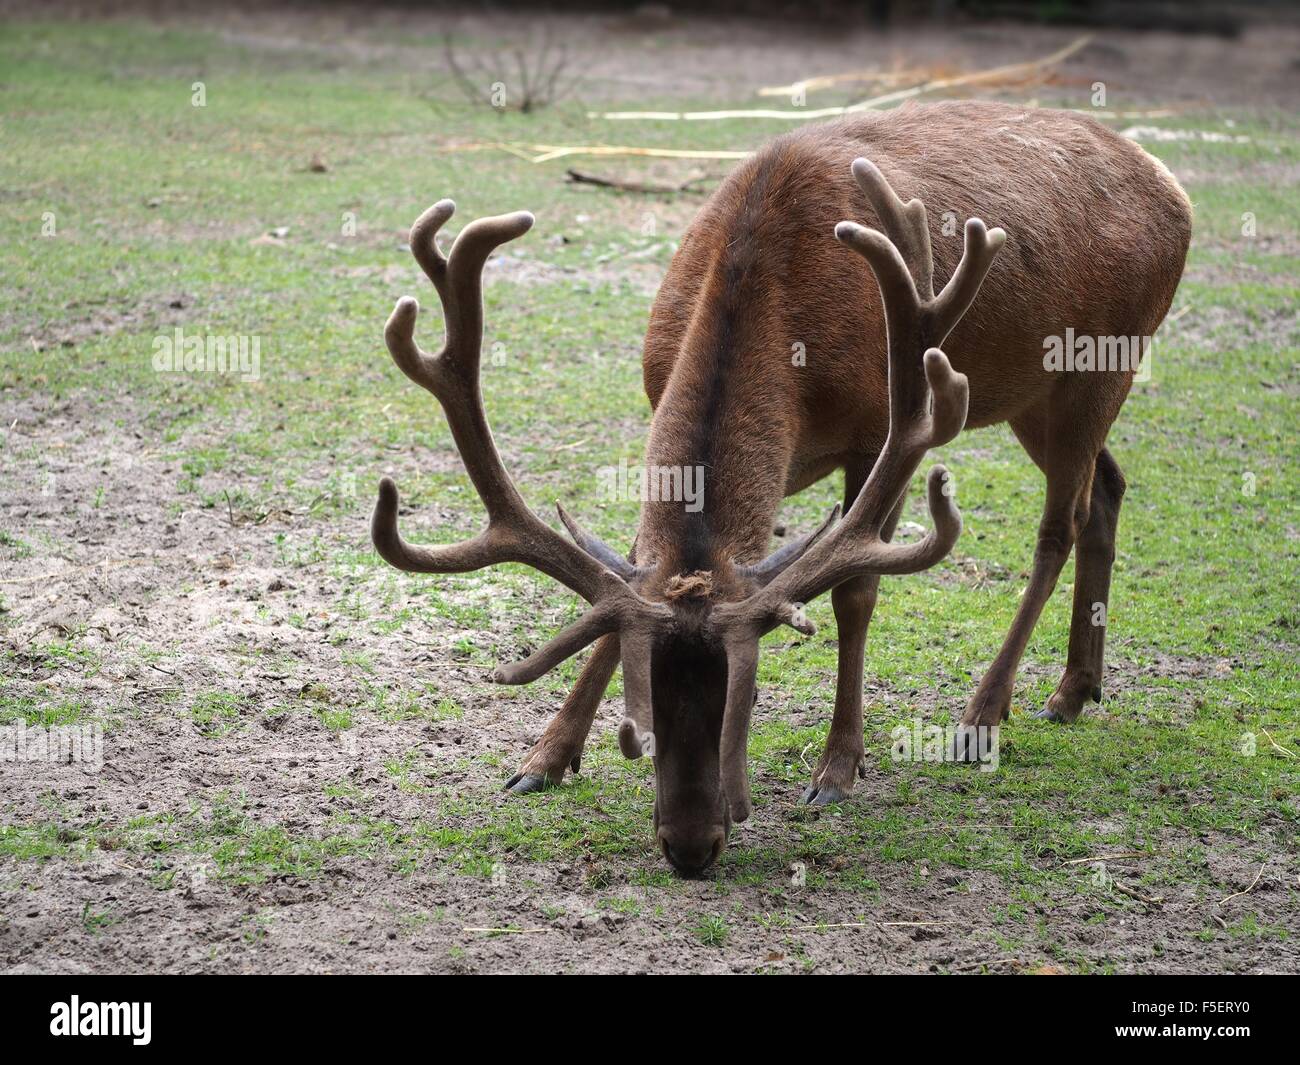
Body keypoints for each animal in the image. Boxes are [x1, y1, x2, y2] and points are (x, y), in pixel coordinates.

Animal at [372, 101, 1192, 875]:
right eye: (645, 710)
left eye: (750, 694)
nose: (691, 848)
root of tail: (1172, 186)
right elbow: (629, 580)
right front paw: (543, 758)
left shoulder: (879, 430)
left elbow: (855, 594)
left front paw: (837, 769)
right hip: (1029, 396)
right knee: (1110, 488)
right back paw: (1075, 688)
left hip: (1101, 363)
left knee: (1062, 522)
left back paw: (984, 714)